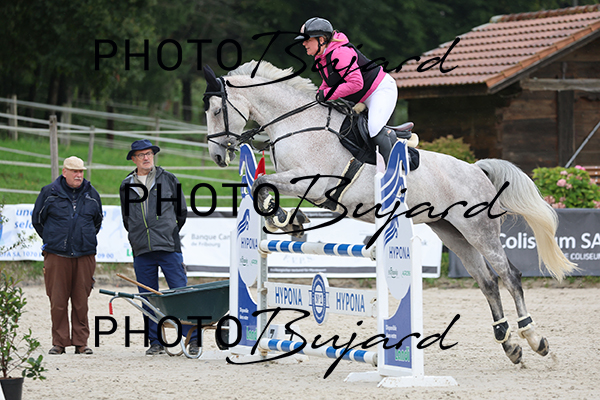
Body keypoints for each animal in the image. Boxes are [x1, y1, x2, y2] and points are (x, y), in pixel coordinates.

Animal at [203, 60, 576, 365]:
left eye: (217, 110)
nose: (218, 156)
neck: (297, 123)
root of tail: (476, 169)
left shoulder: (315, 183)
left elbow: (262, 182)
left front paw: (283, 218)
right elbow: (264, 186)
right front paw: (289, 221)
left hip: (479, 230)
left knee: (509, 275)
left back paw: (535, 339)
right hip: (452, 232)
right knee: (486, 281)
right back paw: (509, 344)